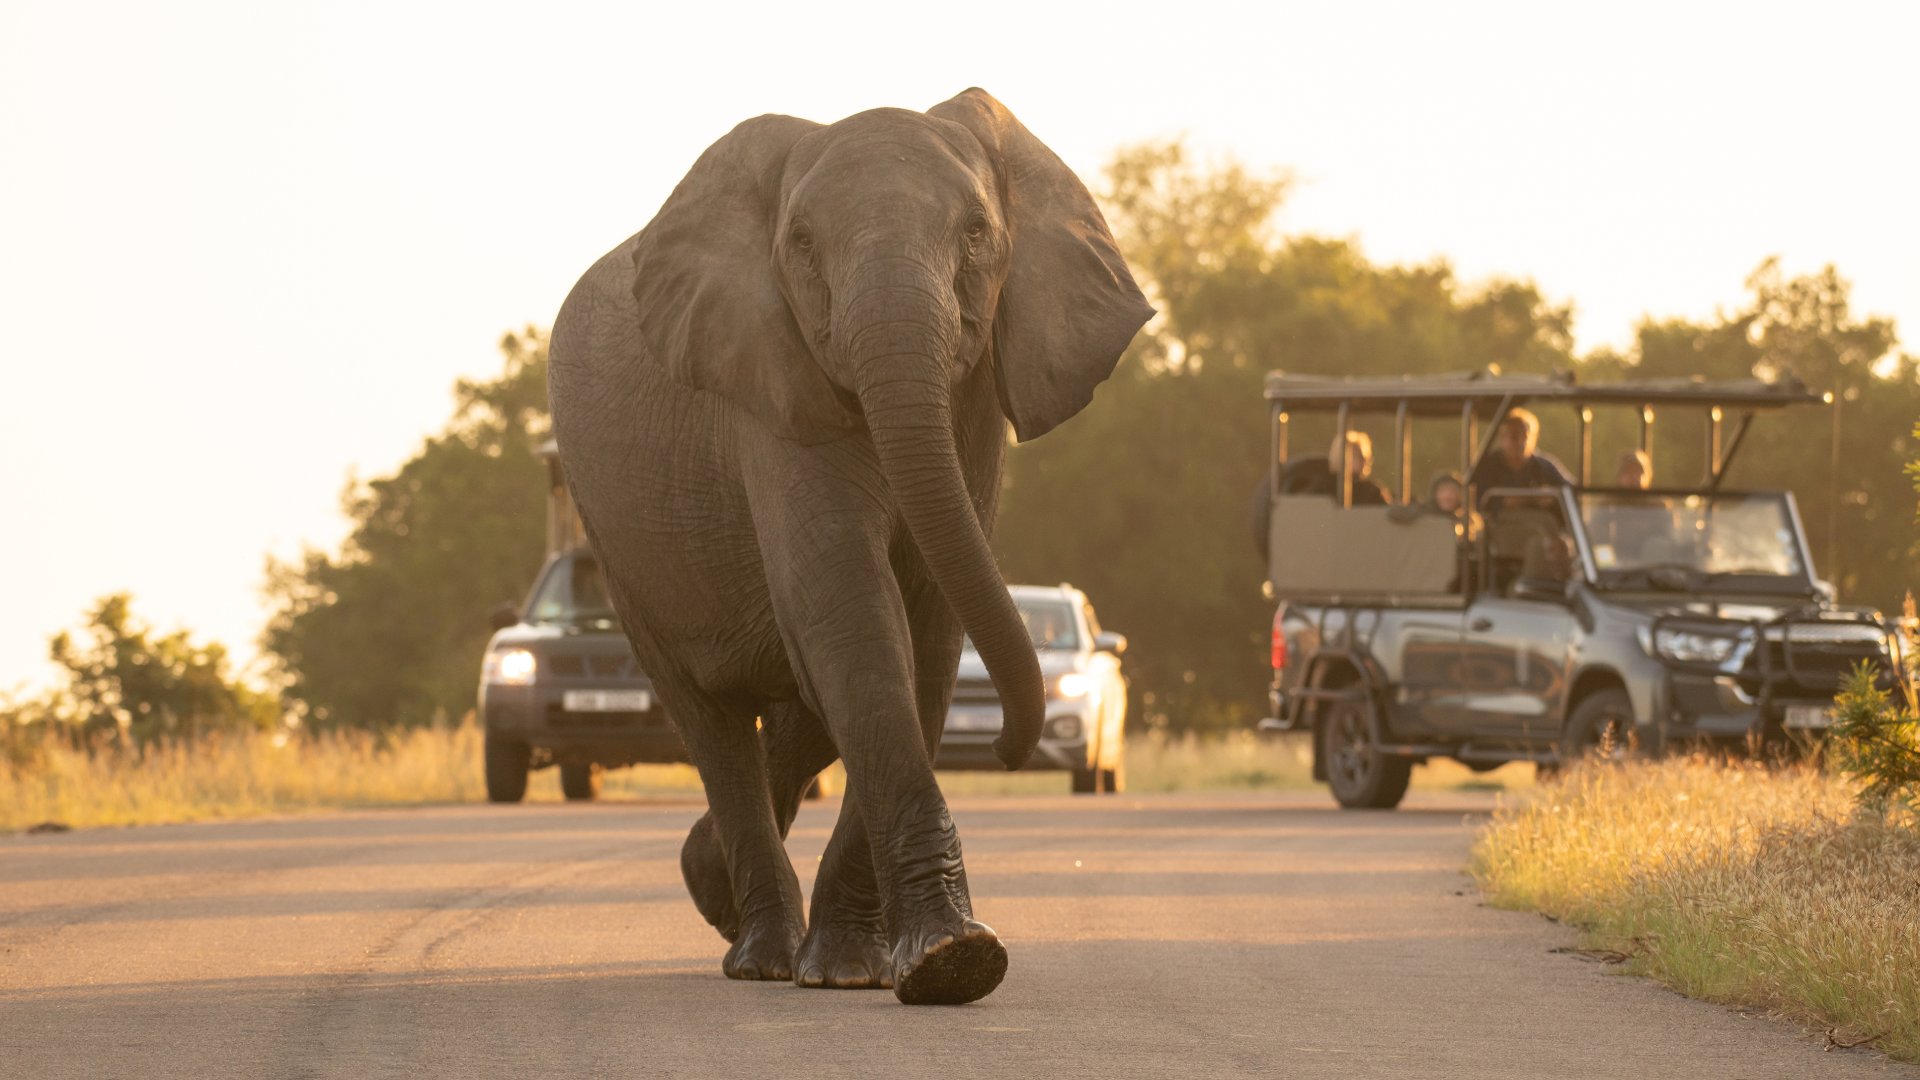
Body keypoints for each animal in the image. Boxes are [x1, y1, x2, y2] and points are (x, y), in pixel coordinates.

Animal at [547, 88, 1151, 1005]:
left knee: (797, 713)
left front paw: (880, 967)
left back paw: (712, 889)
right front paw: (952, 962)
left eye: (978, 230)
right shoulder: (767, 382)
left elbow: (926, 632)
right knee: (712, 721)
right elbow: (853, 615)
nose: (1007, 747)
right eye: (800, 244)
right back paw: (758, 953)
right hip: (615, 536)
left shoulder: (974, 401)